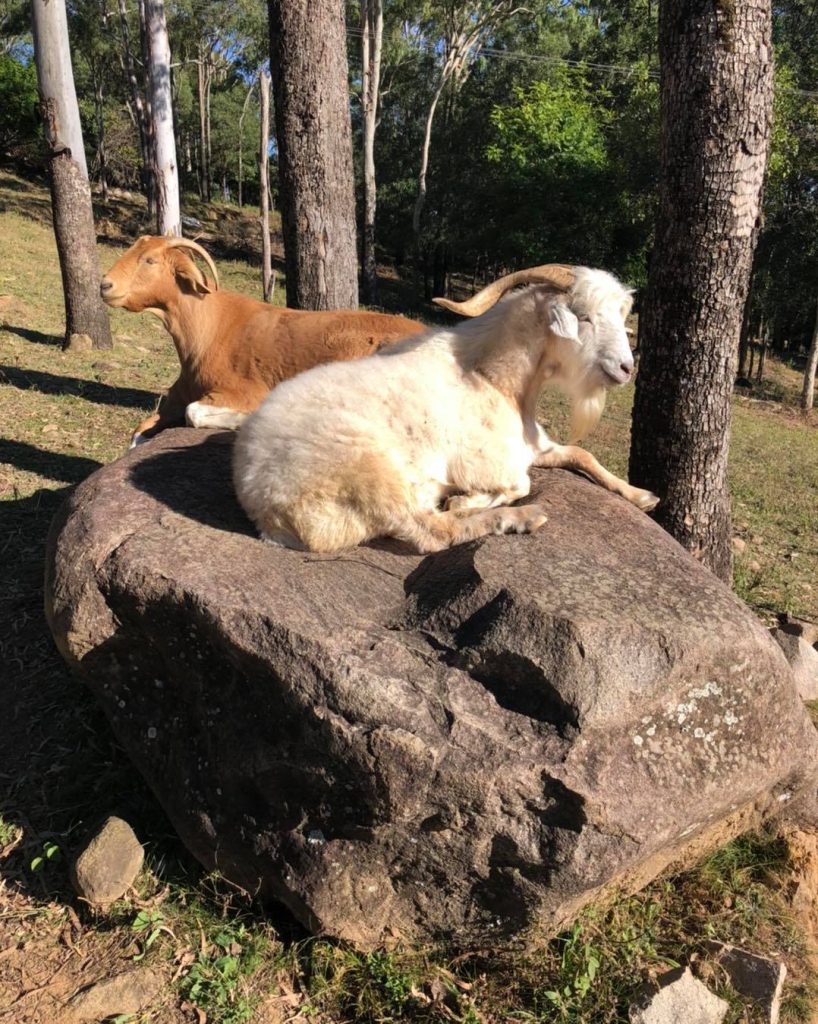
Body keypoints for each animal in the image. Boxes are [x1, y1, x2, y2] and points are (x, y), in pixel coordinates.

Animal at [99, 239, 425, 448]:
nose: (105, 285)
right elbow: (138, 433)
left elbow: (194, 412)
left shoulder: (243, 390)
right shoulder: (175, 400)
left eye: (150, 260)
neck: (209, 328)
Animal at [230, 264, 659, 552]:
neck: (495, 379)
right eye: (583, 317)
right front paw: (469, 499)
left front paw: (642, 496)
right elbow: (521, 484)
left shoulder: (534, 447)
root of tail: (258, 500)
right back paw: (519, 517)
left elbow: (582, 455)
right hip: (365, 469)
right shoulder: (488, 462)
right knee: (431, 531)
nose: (626, 368)